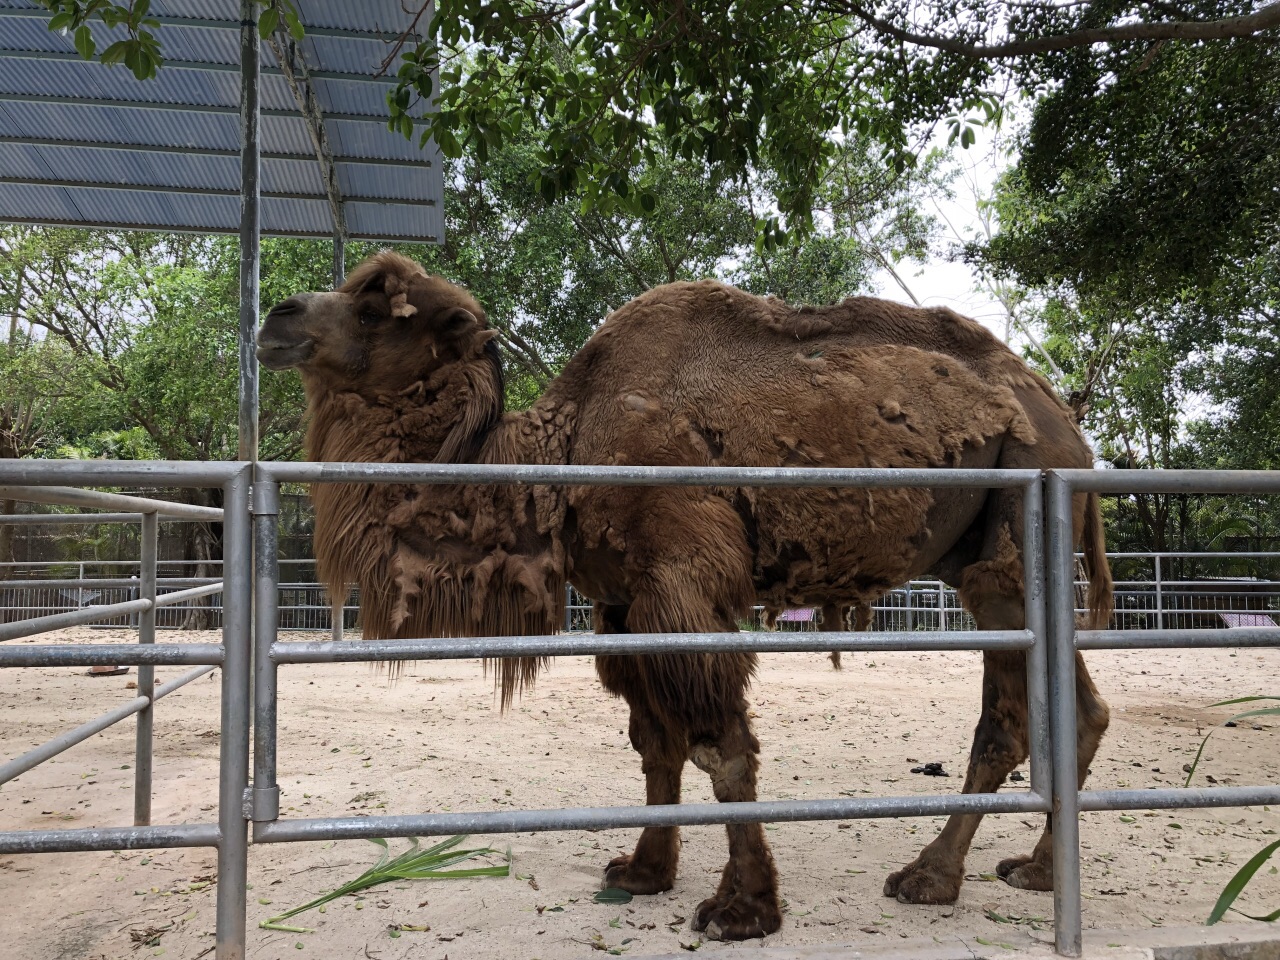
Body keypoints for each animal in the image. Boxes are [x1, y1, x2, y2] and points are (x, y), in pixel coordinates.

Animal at [257, 252, 1111, 942]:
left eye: (378, 307)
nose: (277, 315)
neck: (561, 448)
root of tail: (1067, 422)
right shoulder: (619, 603)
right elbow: (654, 744)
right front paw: (643, 871)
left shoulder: (680, 579)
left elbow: (718, 746)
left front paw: (744, 909)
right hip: (988, 555)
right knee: (1078, 709)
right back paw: (1034, 870)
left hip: (1012, 533)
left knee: (1009, 718)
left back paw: (929, 877)